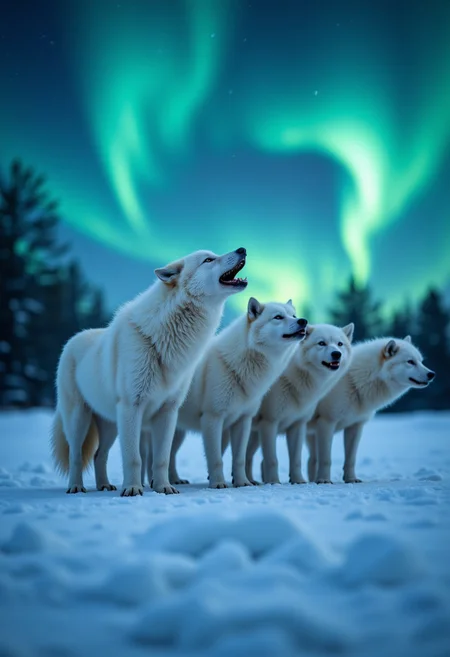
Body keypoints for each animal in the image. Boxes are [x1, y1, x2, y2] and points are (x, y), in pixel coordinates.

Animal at [50, 247, 248, 496]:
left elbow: (161, 458)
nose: (242, 249)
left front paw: (163, 487)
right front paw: (133, 489)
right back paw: (76, 487)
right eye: (208, 260)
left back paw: (104, 485)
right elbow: (134, 458)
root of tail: (72, 339)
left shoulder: (167, 412)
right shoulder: (131, 407)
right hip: (79, 419)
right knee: (75, 455)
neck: (163, 341)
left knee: (98, 455)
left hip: (110, 425)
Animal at [162, 298, 308, 488]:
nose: (304, 321)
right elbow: (216, 459)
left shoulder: (243, 421)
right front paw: (218, 484)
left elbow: (239, 459)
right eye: (278, 317)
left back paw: (174, 480)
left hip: (177, 432)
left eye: (294, 315)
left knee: (169, 455)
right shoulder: (212, 418)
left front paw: (242, 482)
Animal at [246, 322, 354, 485]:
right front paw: (274, 482)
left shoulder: (298, 425)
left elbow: (296, 459)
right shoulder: (269, 423)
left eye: (340, 344)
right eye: (321, 343)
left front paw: (298, 481)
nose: (337, 354)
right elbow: (272, 459)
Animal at [307, 336, 436, 484]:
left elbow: (351, 459)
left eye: (421, 361)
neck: (356, 381)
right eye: (410, 362)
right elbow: (326, 459)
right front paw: (324, 480)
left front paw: (351, 479)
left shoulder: (356, 426)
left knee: (311, 460)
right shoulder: (326, 423)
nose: (432, 374)